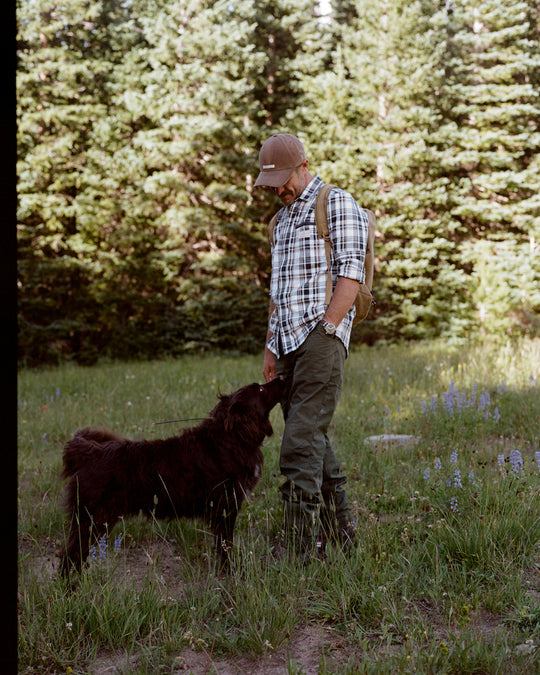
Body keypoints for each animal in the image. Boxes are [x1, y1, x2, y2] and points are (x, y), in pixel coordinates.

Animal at [59, 378, 286, 580]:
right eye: (260, 388)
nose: (282, 378)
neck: (232, 437)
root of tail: (91, 452)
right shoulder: (225, 509)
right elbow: (226, 546)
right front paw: (232, 572)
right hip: (92, 519)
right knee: (69, 556)